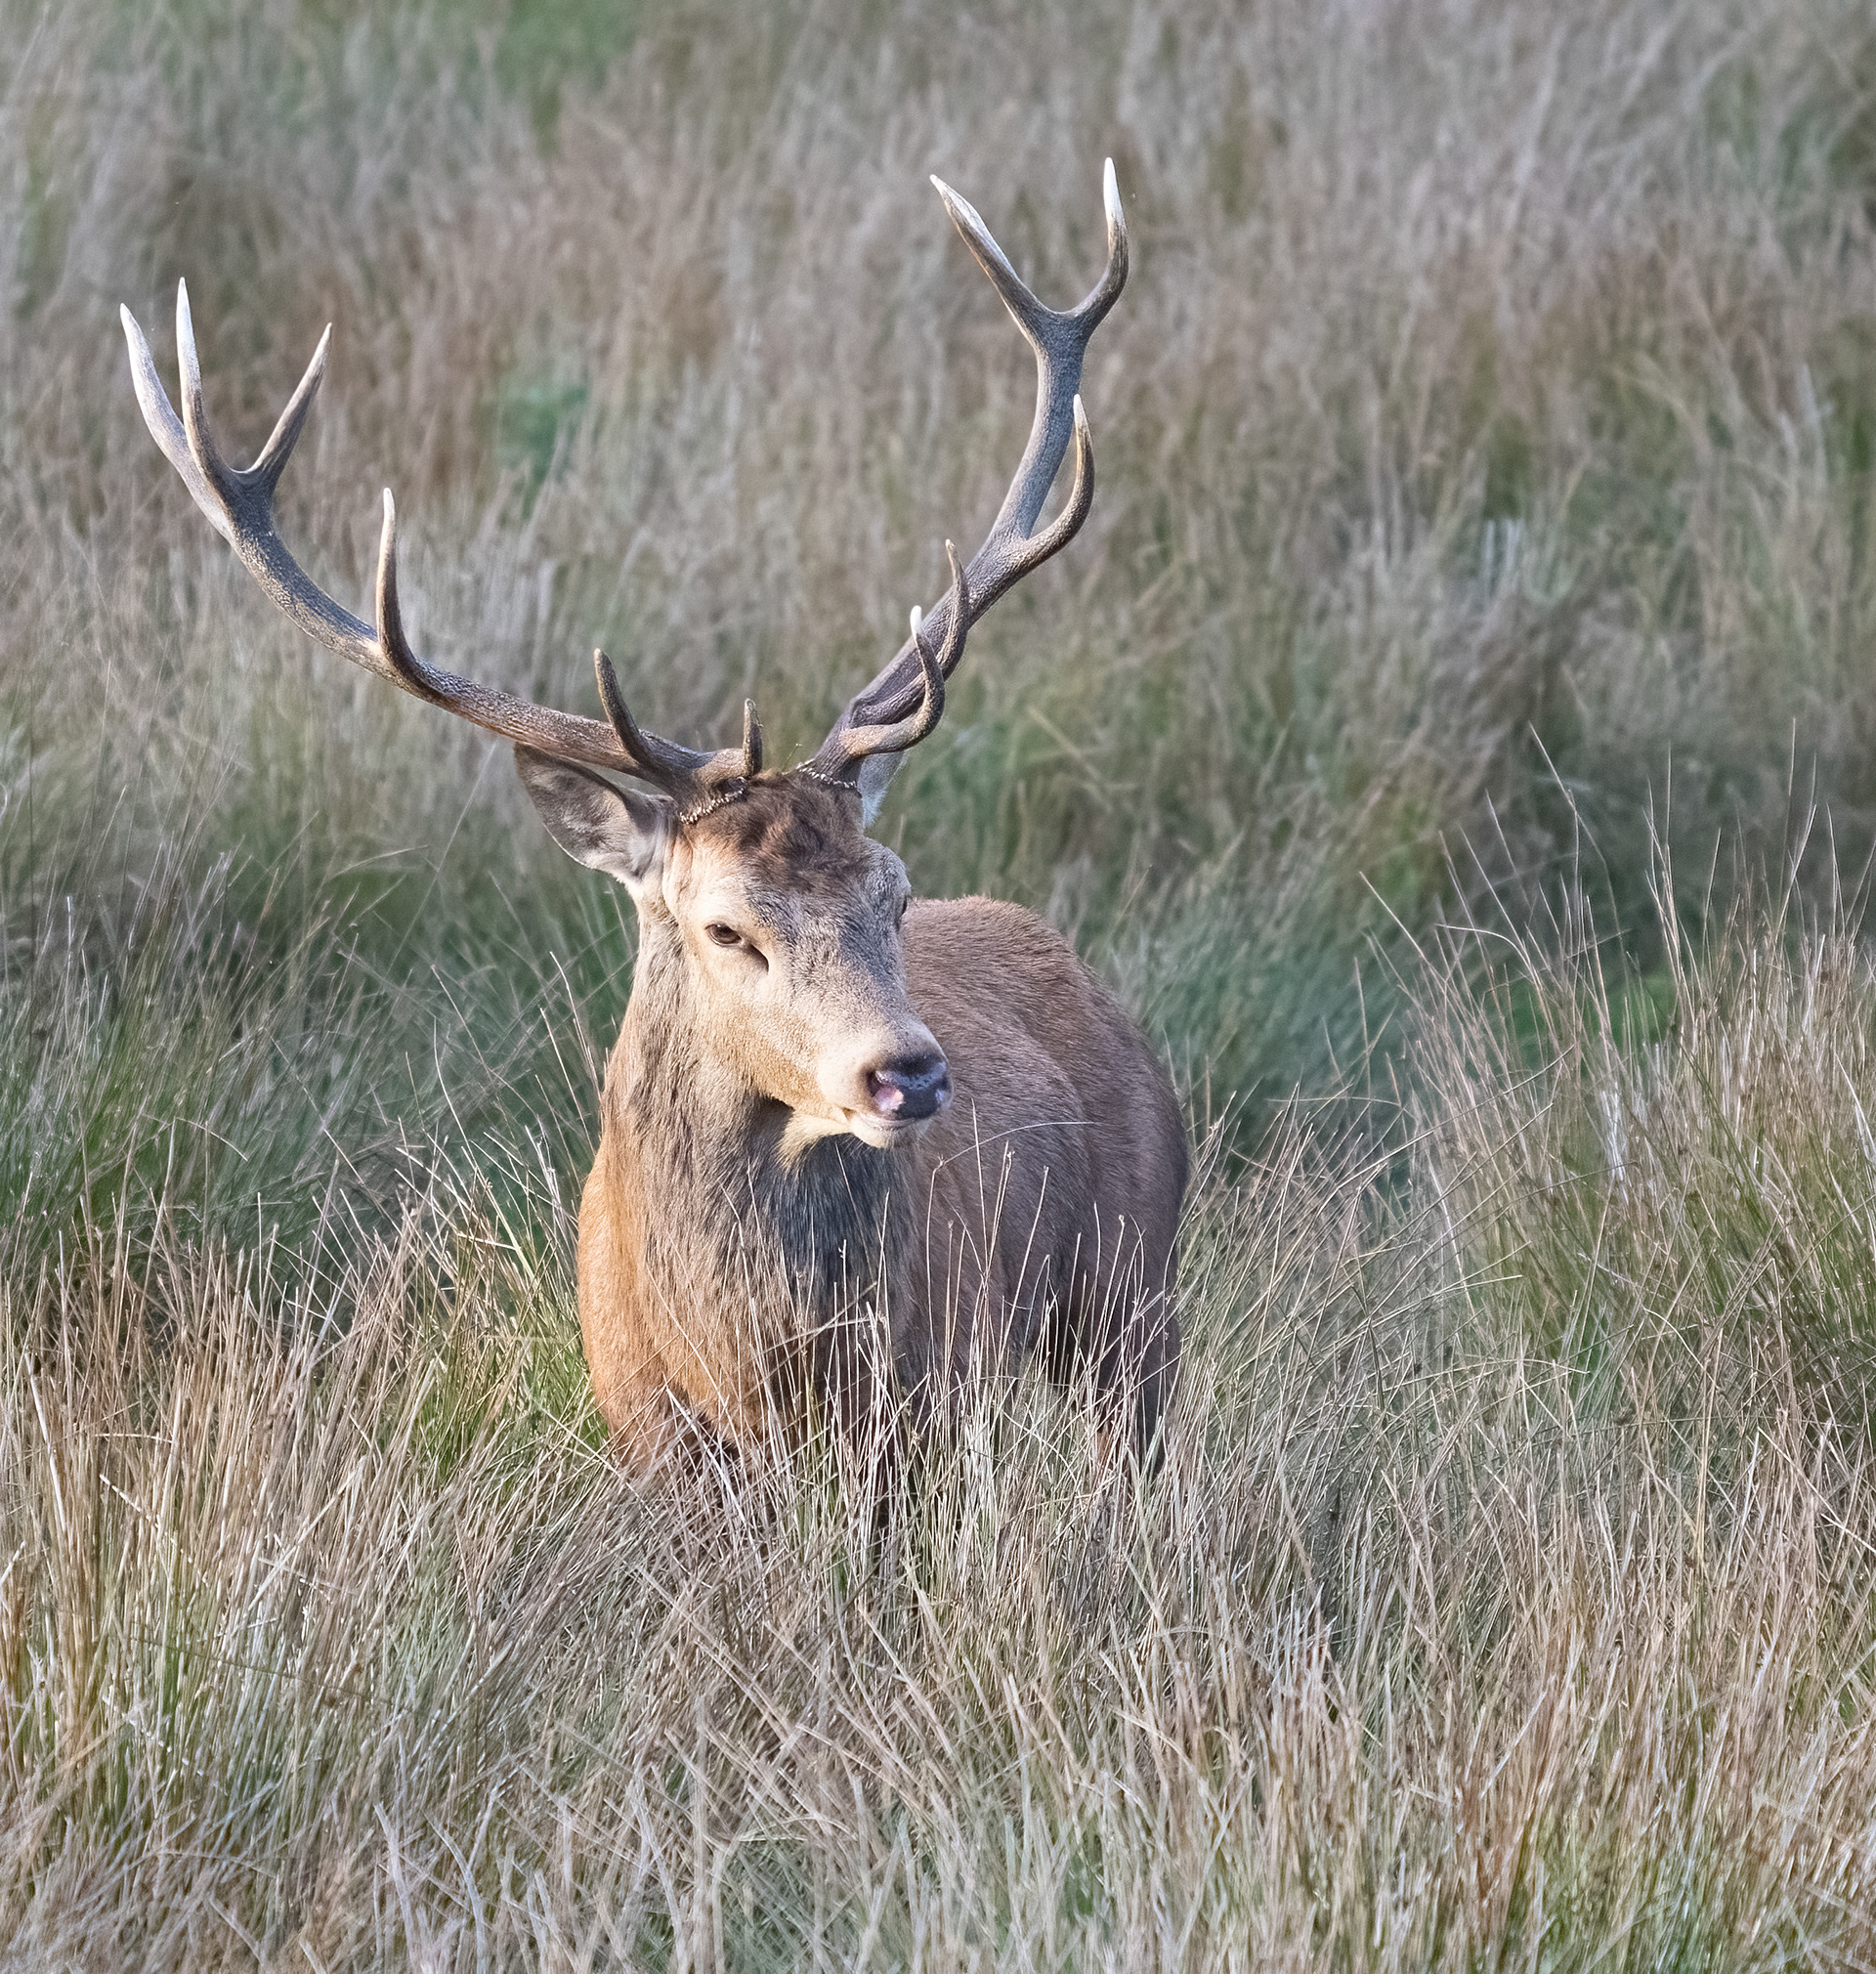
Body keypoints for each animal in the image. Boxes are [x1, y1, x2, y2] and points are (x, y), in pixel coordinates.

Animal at [121, 161, 1186, 1475]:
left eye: (893, 893)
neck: (755, 1375)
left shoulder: (930, 1403)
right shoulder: (641, 1427)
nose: (908, 1073)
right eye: (728, 927)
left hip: (1136, 1285)